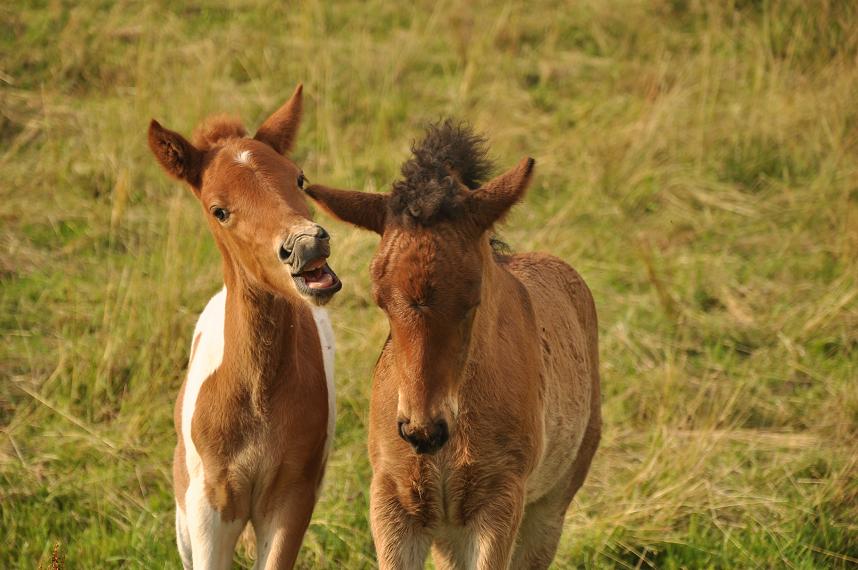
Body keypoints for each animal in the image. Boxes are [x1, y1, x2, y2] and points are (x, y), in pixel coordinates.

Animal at [147, 85, 338, 568]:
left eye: (299, 179)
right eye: (219, 210)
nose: (305, 246)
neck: (258, 397)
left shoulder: (291, 498)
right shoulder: (208, 509)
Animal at [304, 122, 600, 564]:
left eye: (473, 299)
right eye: (380, 298)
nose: (422, 431)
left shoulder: (497, 503)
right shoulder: (394, 502)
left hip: (548, 507)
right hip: (448, 530)